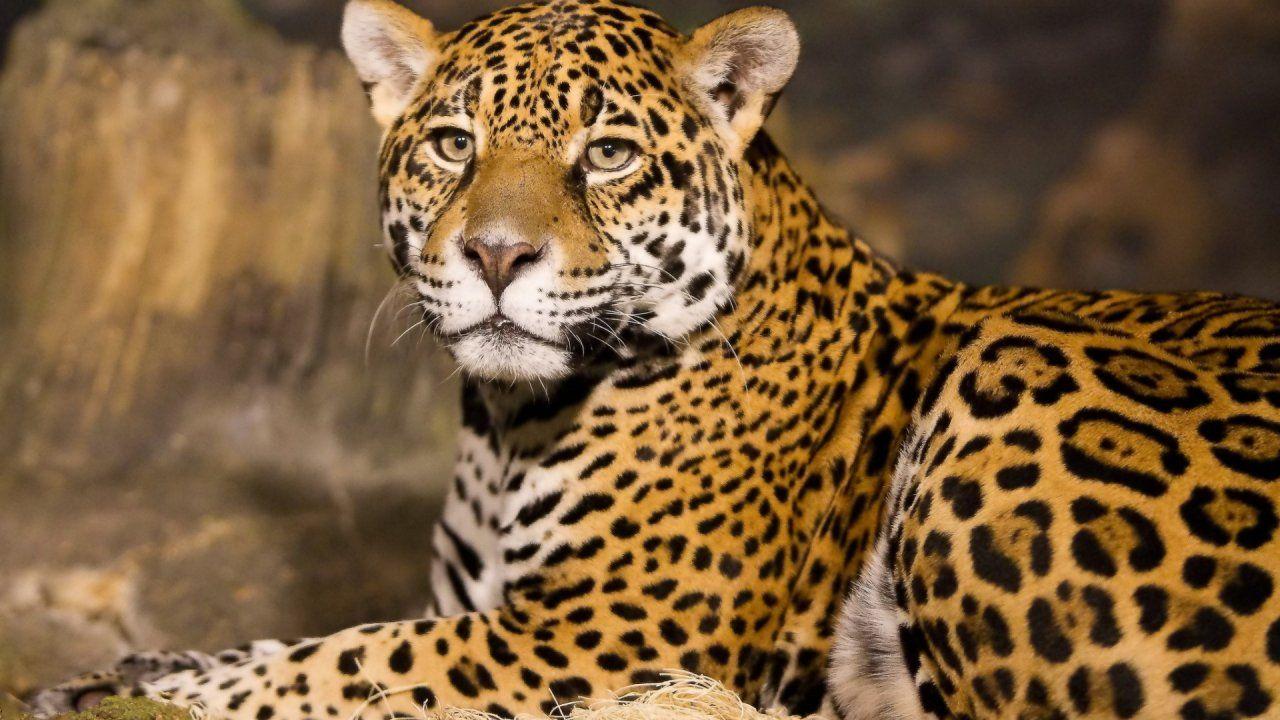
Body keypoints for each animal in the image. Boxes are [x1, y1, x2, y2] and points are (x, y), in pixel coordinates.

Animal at [28, 1, 1280, 718]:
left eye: (608, 156)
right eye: (453, 144)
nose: (494, 252)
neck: (508, 425)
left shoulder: (604, 636)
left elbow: (355, 659)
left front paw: (175, 688)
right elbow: (308, 637)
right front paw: (127, 673)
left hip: (1008, 372)